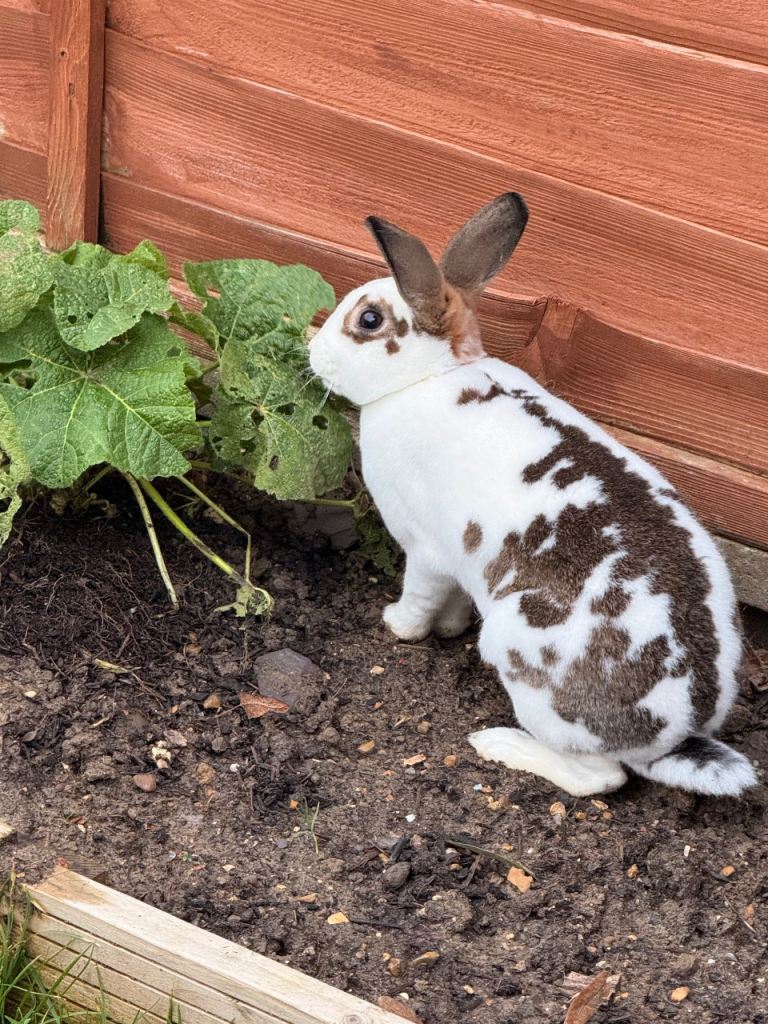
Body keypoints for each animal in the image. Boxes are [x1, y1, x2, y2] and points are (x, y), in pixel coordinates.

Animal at [309, 192, 758, 798]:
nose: (312, 351)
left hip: (525, 664)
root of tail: (672, 736)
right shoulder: (460, 562)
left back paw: (500, 744)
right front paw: (450, 629)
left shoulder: (425, 548)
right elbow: (454, 600)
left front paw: (397, 624)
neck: (429, 378)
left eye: (369, 320)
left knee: (600, 778)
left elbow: (420, 596)